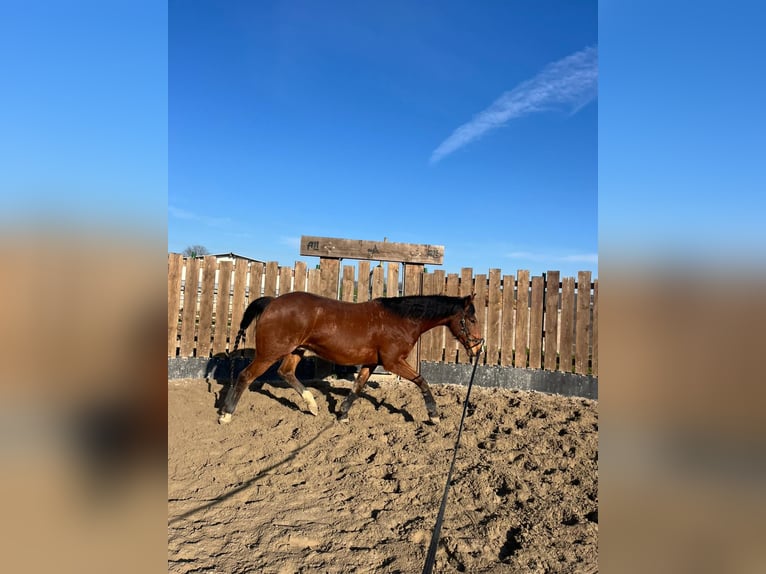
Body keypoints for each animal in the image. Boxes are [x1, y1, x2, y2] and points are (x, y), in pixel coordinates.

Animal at [218, 291, 484, 425]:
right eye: (471, 319)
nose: (478, 348)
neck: (401, 319)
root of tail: (272, 302)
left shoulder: (371, 362)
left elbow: (357, 387)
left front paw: (343, 414)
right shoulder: (393, 362)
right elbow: (422, 381)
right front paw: (434, 415)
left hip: (297, 350)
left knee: (286, 373)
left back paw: (313, 406)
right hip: (269, 353)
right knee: (245, 376)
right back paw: (226, 414)